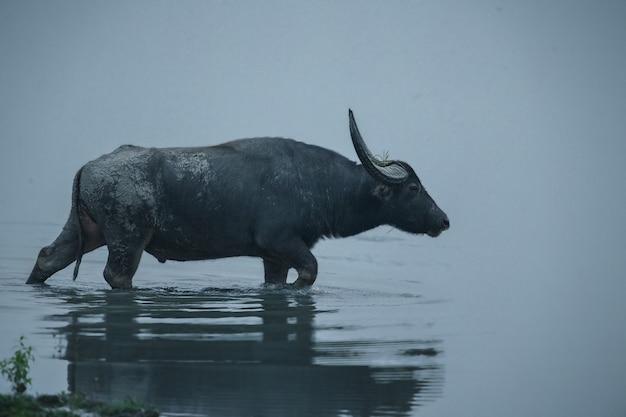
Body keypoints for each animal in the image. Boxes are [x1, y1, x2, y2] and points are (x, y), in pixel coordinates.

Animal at [26, 109, 448, 288]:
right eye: (413, 189)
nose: (443, 220)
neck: (321, 184)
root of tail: (89, 166)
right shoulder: (282, 242)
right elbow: (310, 272)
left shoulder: (274, 257)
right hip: (127, 239)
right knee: (117, 276)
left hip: (85, 230)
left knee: (48, 256)